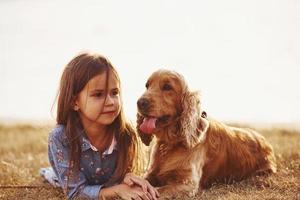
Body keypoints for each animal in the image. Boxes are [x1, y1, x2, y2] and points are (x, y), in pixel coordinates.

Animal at [136, 69, 276, 198]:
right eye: (147, 86)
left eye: (167, 87)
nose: (140, 102)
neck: (170, 143)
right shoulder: (150, 173)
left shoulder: (187, 184)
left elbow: (158, 191)